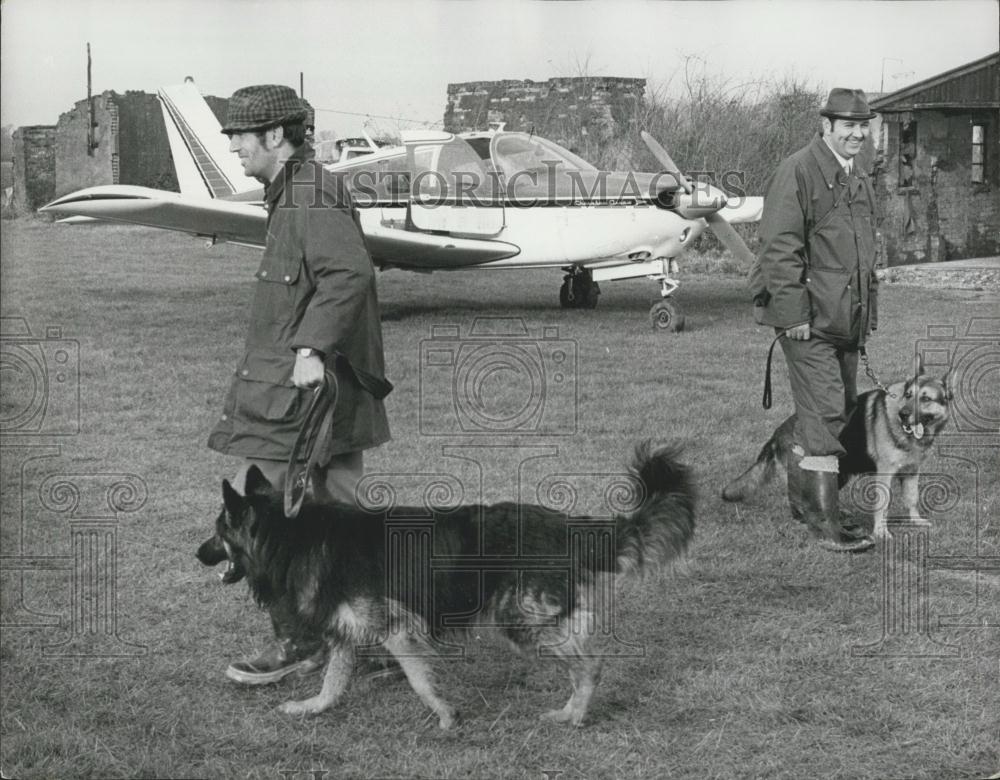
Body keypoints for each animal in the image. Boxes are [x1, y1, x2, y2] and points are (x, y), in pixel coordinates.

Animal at [196, 442, 696, 728]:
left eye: (218, 531)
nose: (197, 553)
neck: (292, 535)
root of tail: (568, 528)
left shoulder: (397, 629)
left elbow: (419, 679)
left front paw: (444, 715)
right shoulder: (346, 631)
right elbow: (333, 683)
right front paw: (311, 708)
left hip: (522, 622)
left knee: (590, 666)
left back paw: (572, 716)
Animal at [724, 362, 948, 540]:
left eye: (926, 399)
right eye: (909, 396)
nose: (904, 415)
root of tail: (777, 433)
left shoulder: (911, 470)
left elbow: (912, 498)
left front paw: (916, 521)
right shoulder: (885, 474)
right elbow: (882, 505)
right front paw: (881, 532)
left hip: (839, 474)